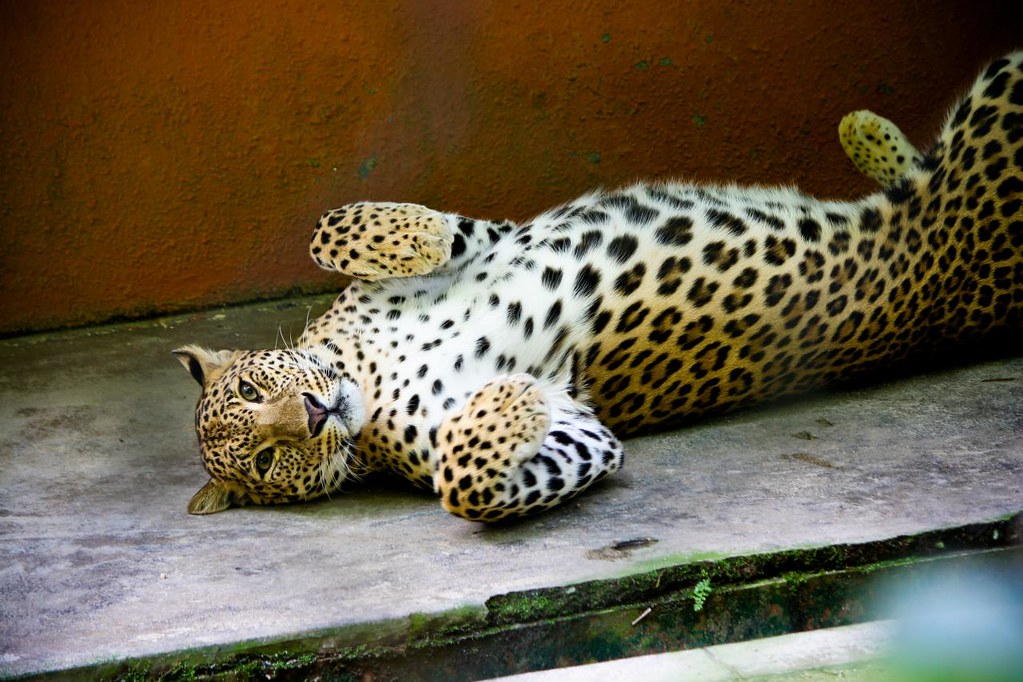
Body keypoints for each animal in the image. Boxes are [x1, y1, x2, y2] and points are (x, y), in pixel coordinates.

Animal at [176, 52, 1023, 522]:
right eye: (264, 461)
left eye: (252, 389)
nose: (314, 414)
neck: (365, 374)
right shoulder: (581, 435)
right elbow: (465, 479)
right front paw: (511, 399)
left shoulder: (485, 239)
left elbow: (336, 226)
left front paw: (411, 237)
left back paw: (864, 130)